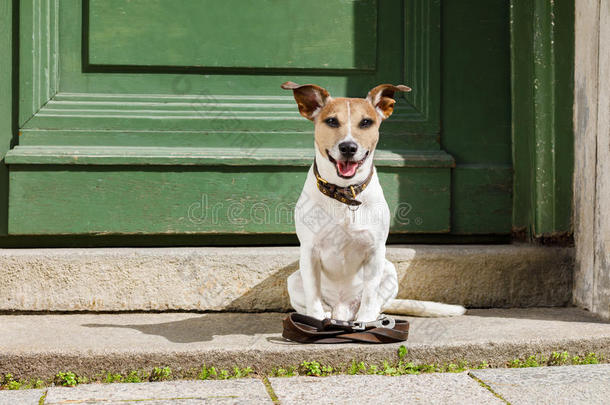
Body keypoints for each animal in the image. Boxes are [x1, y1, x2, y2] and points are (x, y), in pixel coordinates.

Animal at [280, 81, 466, 322]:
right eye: (332, 121)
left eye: (366, 122)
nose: (348, 147)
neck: (346, 195)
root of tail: (343, 310)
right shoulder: (310, 252)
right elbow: (314, 299)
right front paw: (317, 320)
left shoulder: (375, 252)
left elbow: (369, 297)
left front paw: (366, 322)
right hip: (294, 280)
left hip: (389, 271)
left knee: (375, 303)